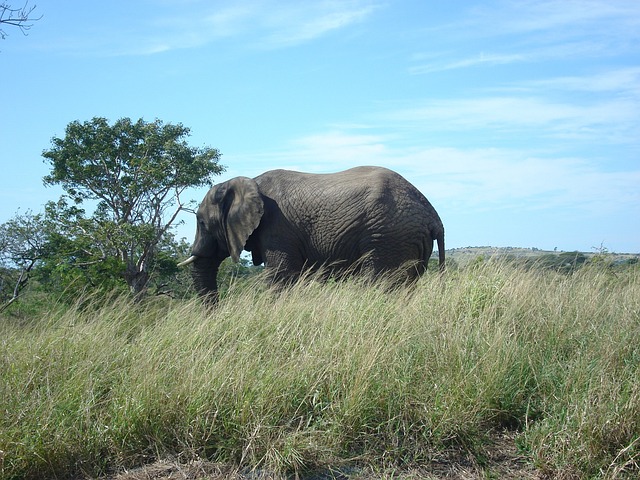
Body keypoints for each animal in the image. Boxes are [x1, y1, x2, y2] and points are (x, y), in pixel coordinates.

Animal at [178, 165, 442, 300]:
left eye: (201, 222)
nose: (214, 315)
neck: (247, 181)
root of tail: (433, 217)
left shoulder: (278, 229)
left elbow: (281, 278)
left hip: (388, 237)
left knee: (377, 283)